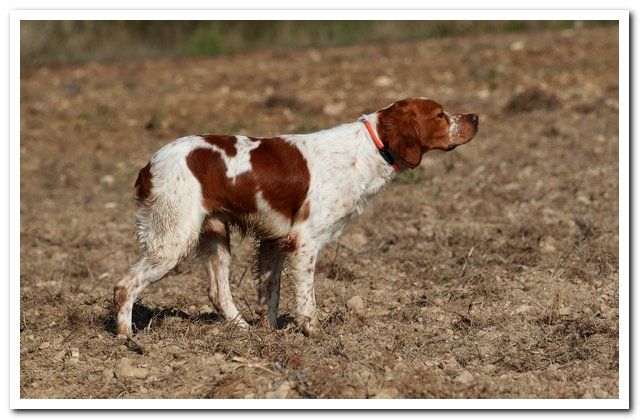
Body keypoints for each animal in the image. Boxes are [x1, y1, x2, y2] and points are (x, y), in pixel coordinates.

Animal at [114, 97, 476, 336]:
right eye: (440, 115)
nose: (475, 116)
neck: (368, 149)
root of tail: (149, 166)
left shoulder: (274, 239)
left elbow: (270, 293)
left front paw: (269, 332)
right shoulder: (305, 241)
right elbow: (306, 297)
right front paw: (314, 333)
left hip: (214, 236)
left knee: (218, 292)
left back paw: (242, 329)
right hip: (173, 239)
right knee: (125, 285)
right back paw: (127, 337)